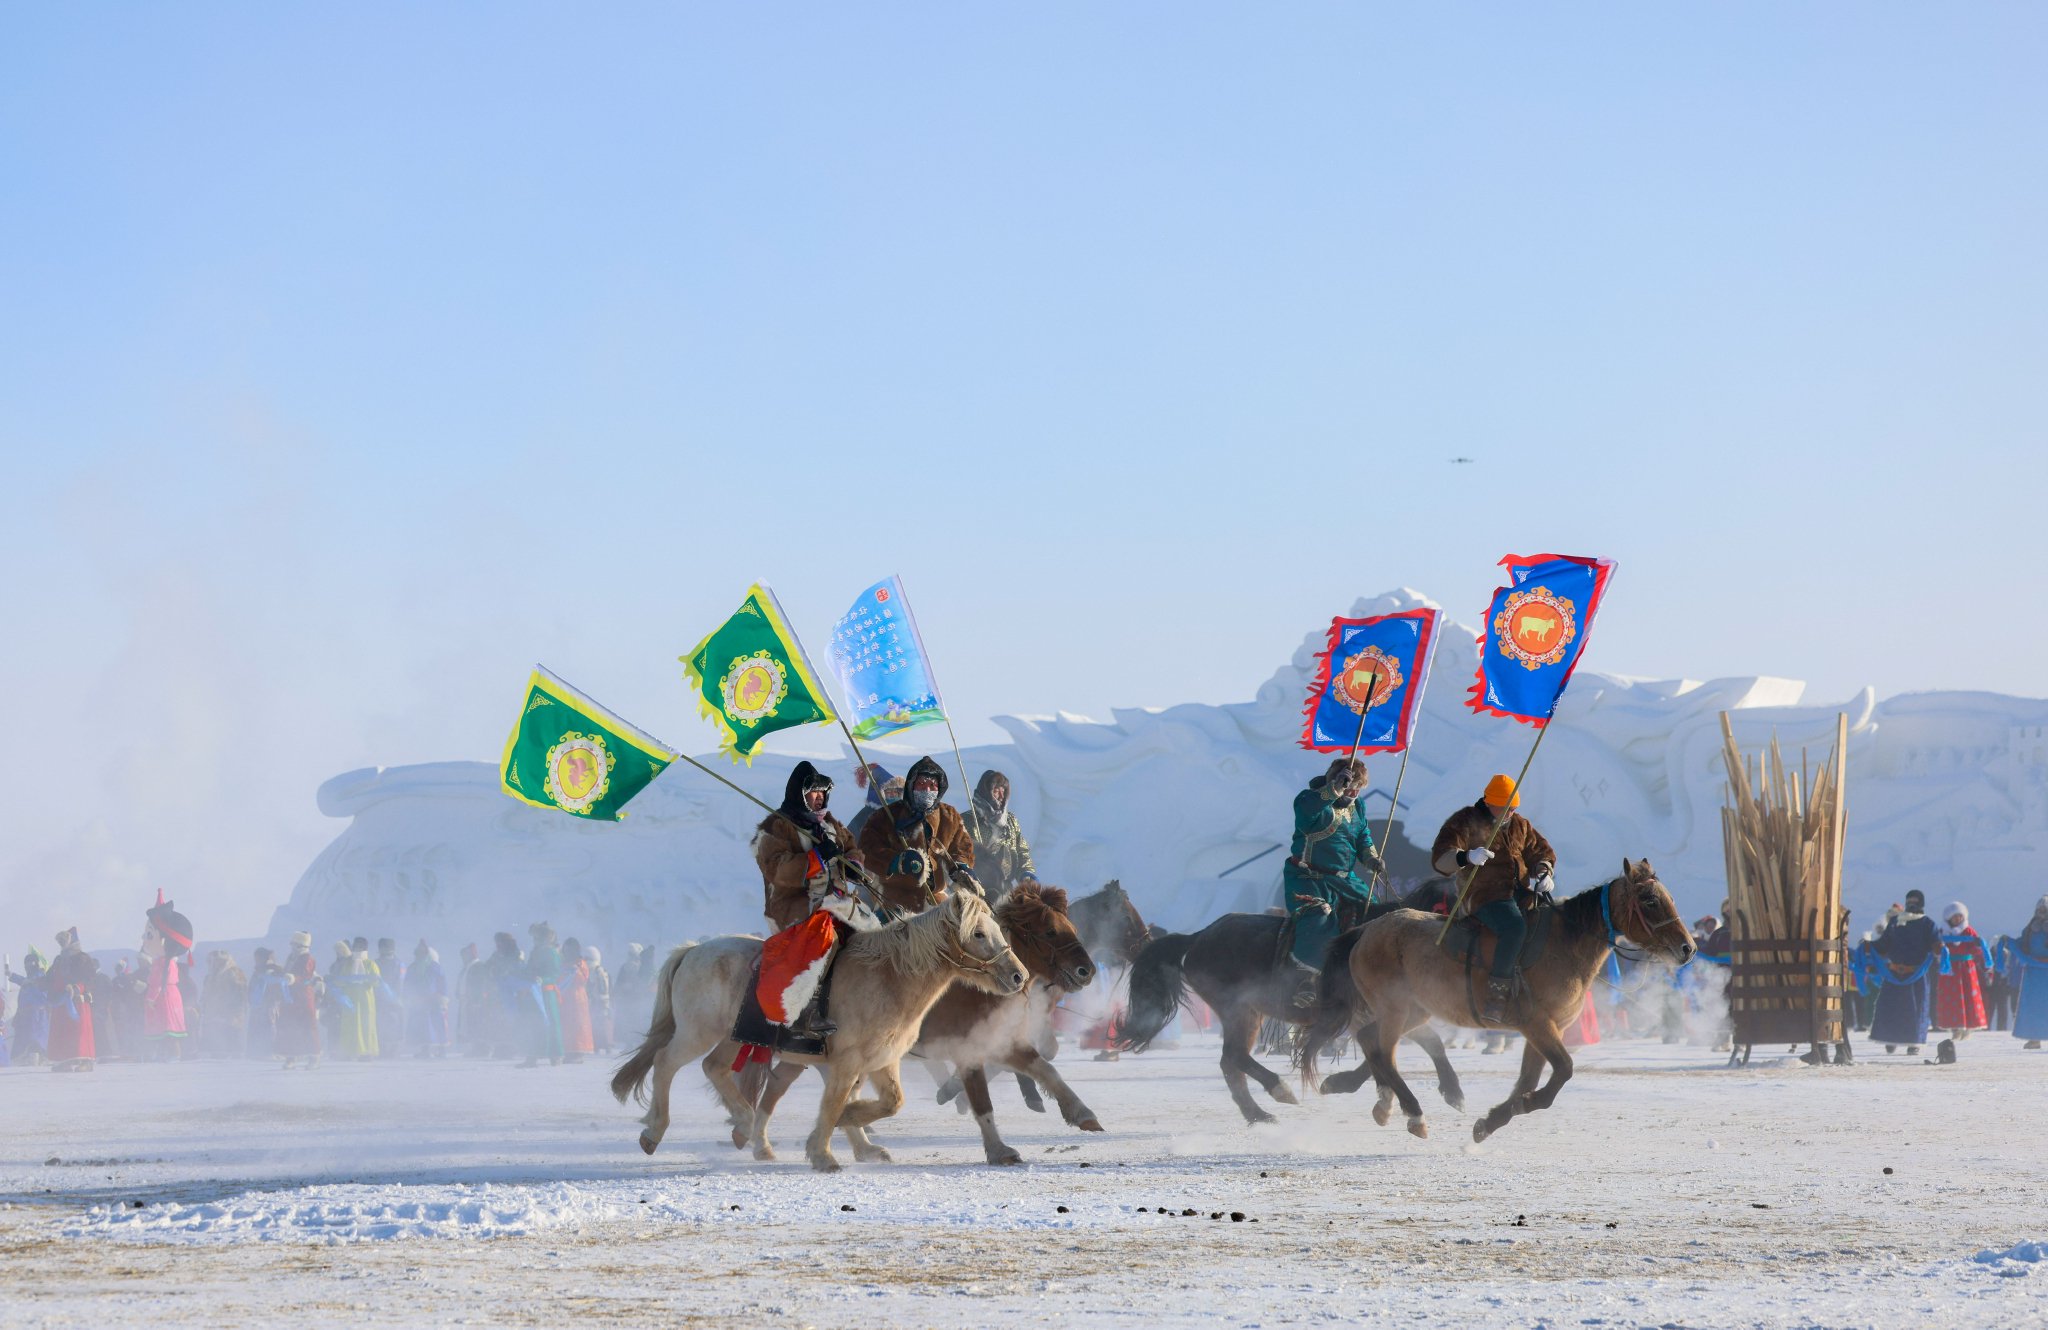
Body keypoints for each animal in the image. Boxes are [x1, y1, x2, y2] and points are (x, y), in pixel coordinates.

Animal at [610, 890, 1026, 1172]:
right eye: (978, 934)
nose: (1018, 976)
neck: (889, 977)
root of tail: (693, 951)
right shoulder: (847, 1061)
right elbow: (835, 1103)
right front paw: (823, 1154)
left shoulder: (880, 1062)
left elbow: (888, 1102)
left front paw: (854, 1139)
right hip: (697, 1031)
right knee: (665, 1063)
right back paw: (656, 1131)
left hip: (733, 1037)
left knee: (714, 1069)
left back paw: (748, 1127)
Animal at [748, 883, 1103, 1165]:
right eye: (1049, 931)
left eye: (1069, 925)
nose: (1087, 971)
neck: (966, 989)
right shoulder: (969, 1051)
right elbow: (982, 1103)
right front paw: (999, 1150)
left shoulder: (1000, 1043)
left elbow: (1047, 1071)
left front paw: (1083, 1114)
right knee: (782, 1089)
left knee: (784, 1086)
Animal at [1115, 904, 1464, 1125]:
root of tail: (1198, 937)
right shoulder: (1379, 1013)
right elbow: (1387, 1048)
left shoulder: (1398, 1012)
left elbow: (1428, 1043)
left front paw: (1451, 1091)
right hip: (1239, 1010)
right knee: (1234, 1057)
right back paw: (1278, 1090)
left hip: (1247, 1013)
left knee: (1231, 1062)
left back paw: (1257, 1115)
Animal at [1298, 858, 1694, 1143]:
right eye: (1649, 899)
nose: (1688, 948)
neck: (1564, 944)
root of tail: (1366, 930)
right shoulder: (1537, 1024)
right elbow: (1562, 1072)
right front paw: (1519, 1106)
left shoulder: (1544, 1030)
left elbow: (1529, 1080)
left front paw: (1492, 1120)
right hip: (1396, 1008)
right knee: (1383, 1052)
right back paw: (1414, 1113)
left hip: (1414, 1009)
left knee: (1372, 1042)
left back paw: (1362, 1092)